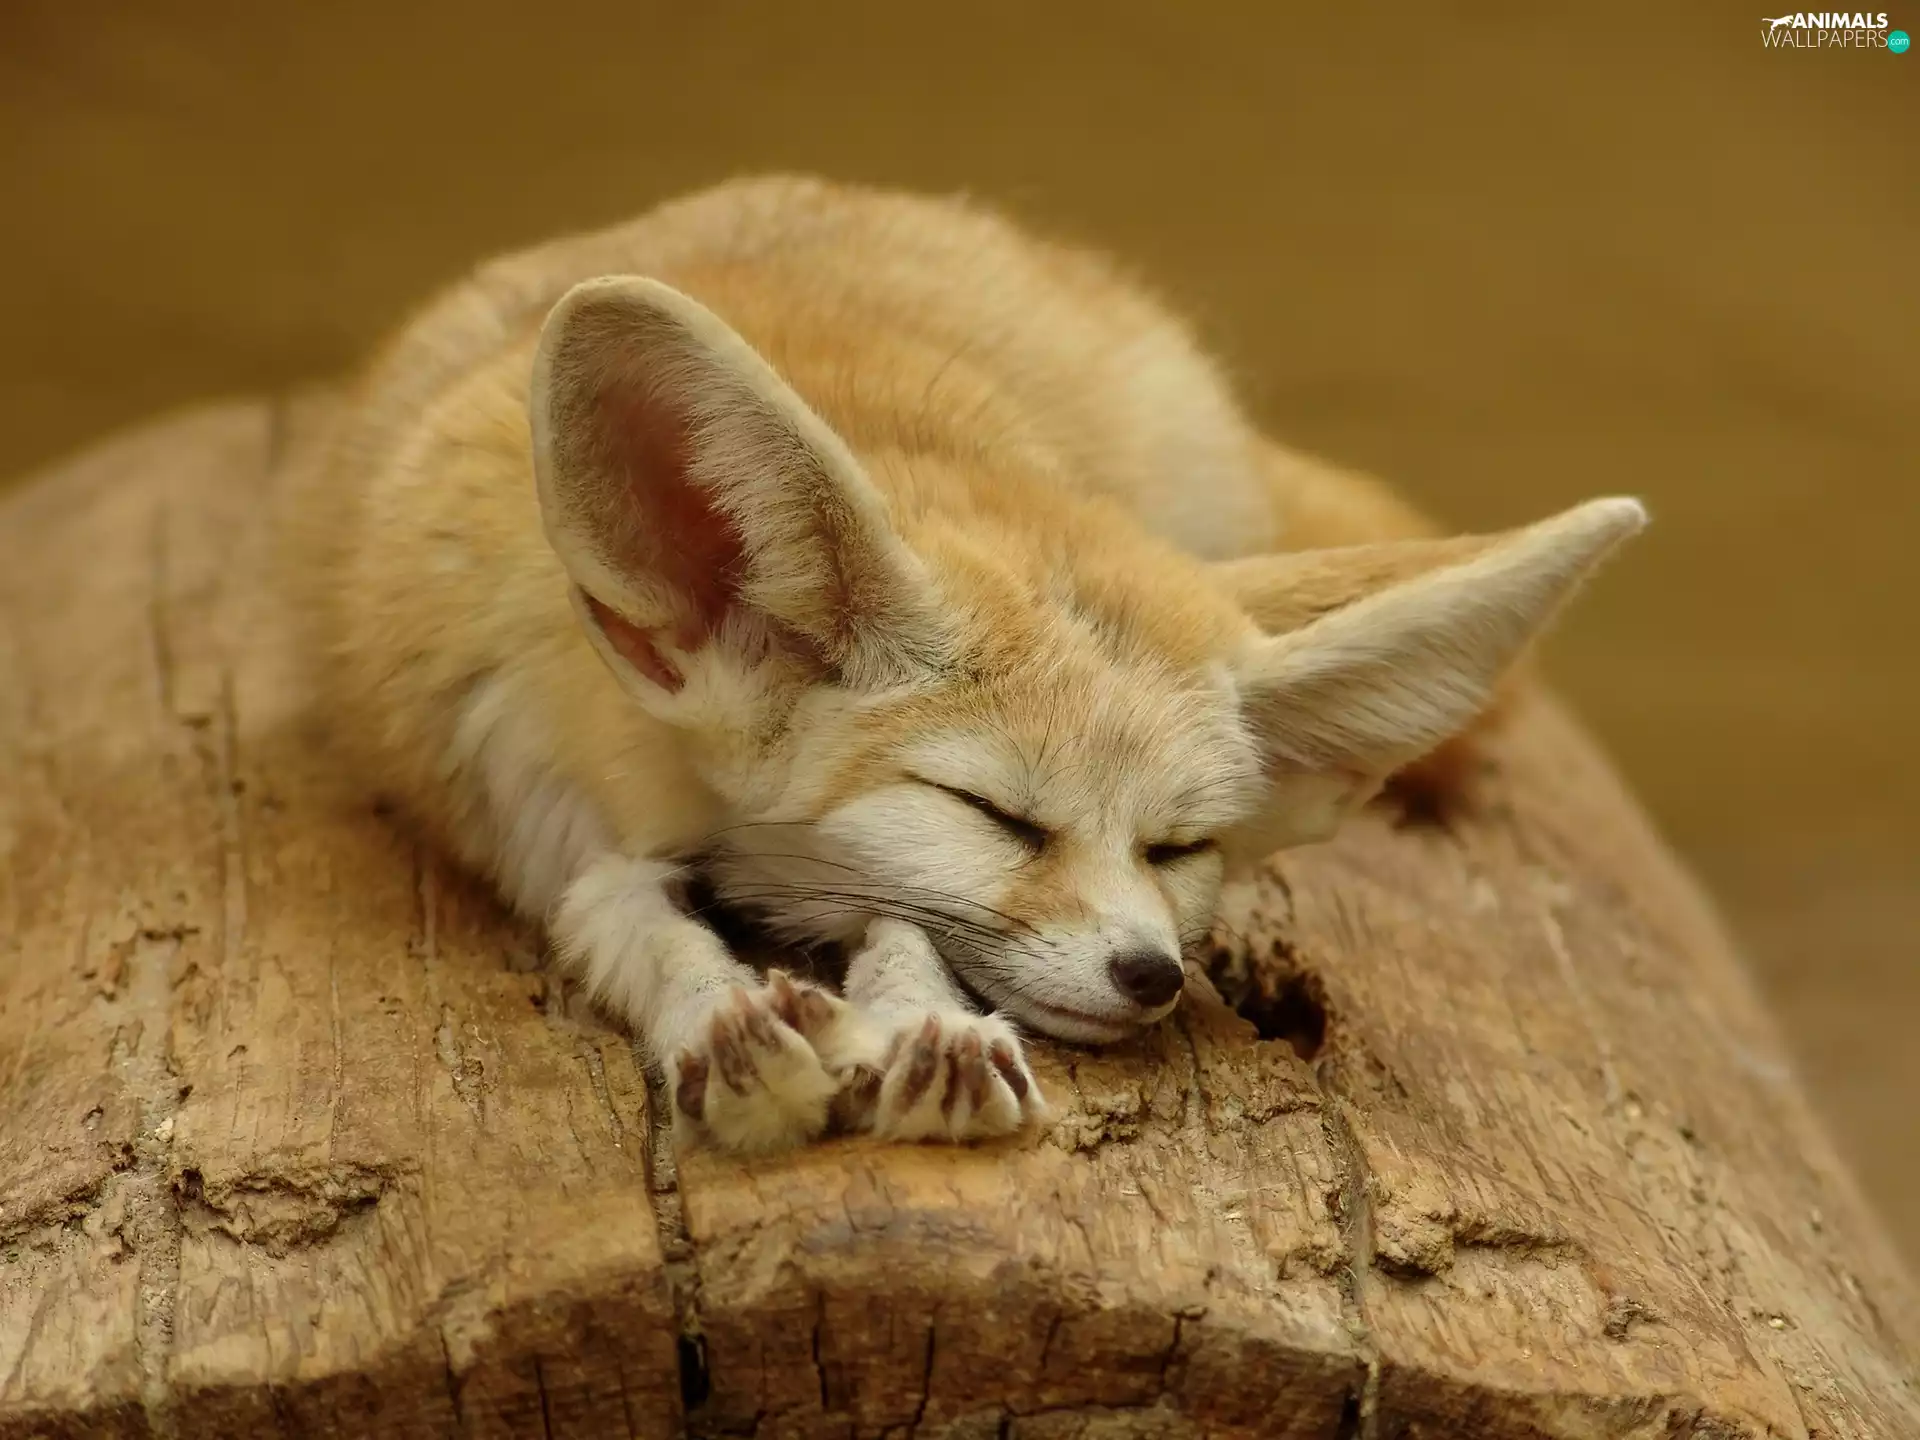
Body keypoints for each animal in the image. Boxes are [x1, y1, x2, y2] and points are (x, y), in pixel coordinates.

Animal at [281, 175, 1645, 1154]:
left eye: (1181, 849)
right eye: (995, 815)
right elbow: (621, 914)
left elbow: (905, 922)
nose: (1152, 972)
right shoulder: (527, 798)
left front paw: (928, 1027)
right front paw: (729, 1026)